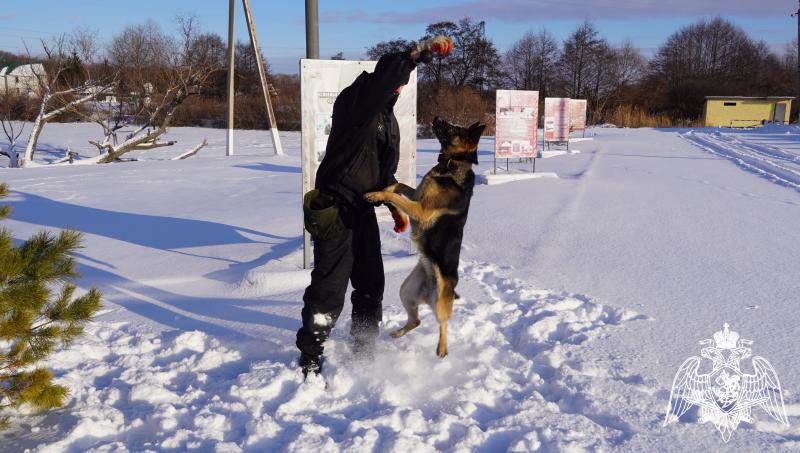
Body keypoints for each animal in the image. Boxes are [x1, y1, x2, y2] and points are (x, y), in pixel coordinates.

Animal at [366, 116, 484, 356]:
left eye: (454, 128)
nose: (437, 118)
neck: (452, 165)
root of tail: (429, 294)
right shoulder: (415, 195)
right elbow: (398, 186)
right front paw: (384, 189)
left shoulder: (419, 208)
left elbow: (394, 195)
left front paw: (376, 194)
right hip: (406, 291)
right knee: (416, 321)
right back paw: (397, 334)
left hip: (439, 303)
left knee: (444, 323)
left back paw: (442, 349)